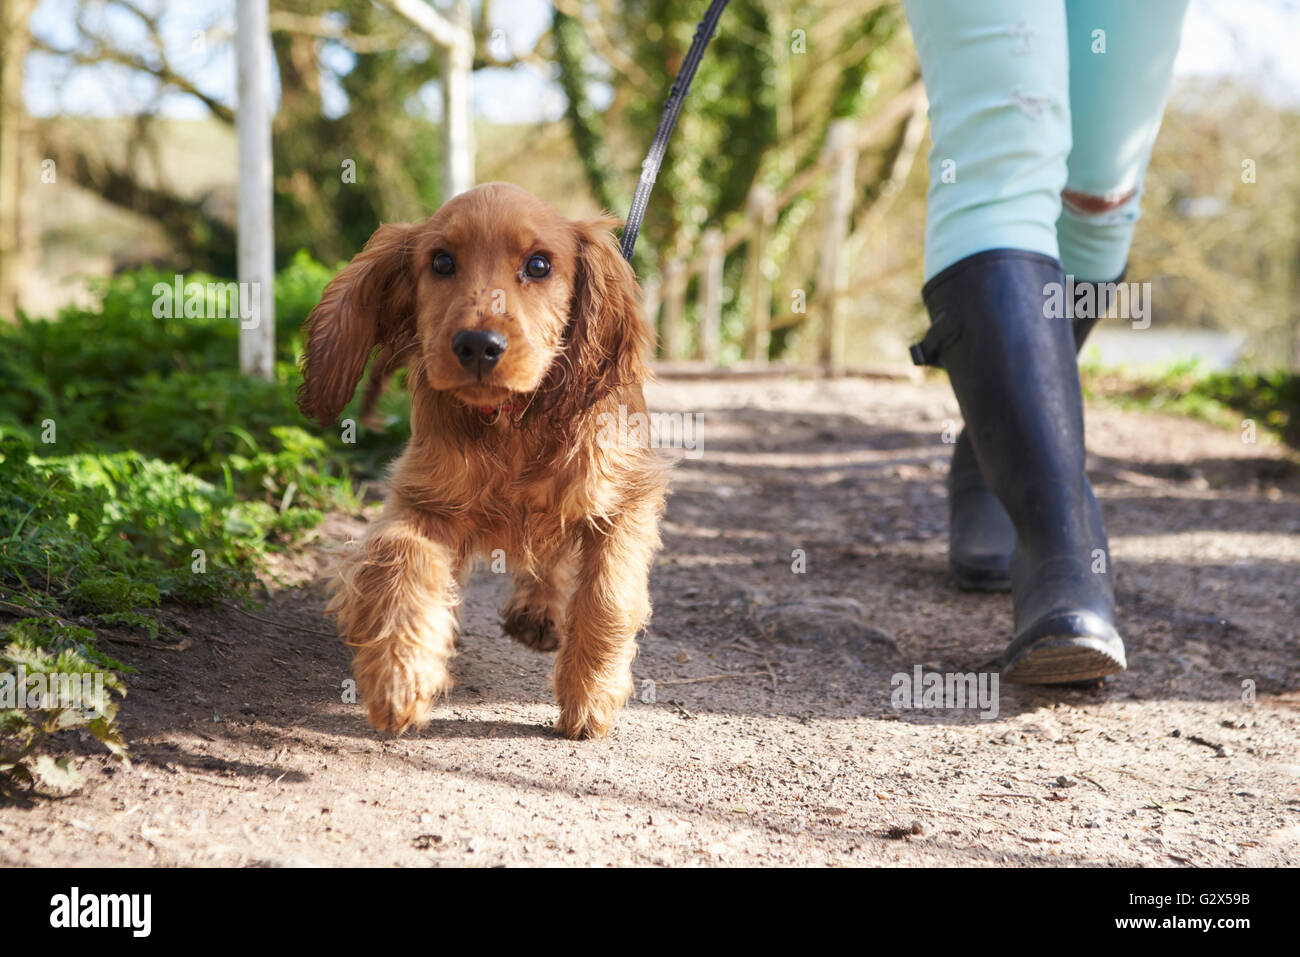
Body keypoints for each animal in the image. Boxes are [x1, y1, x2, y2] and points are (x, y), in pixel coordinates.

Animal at [297, 184, 670, 738]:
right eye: (442, 262)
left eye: (539, 265)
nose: (477, 345)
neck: (511, 421)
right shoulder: (423, 500)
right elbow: (399, 557)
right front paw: (400, 677)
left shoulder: (625, 498)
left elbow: (608, 596)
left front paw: (590, 697)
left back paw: (539, 612)